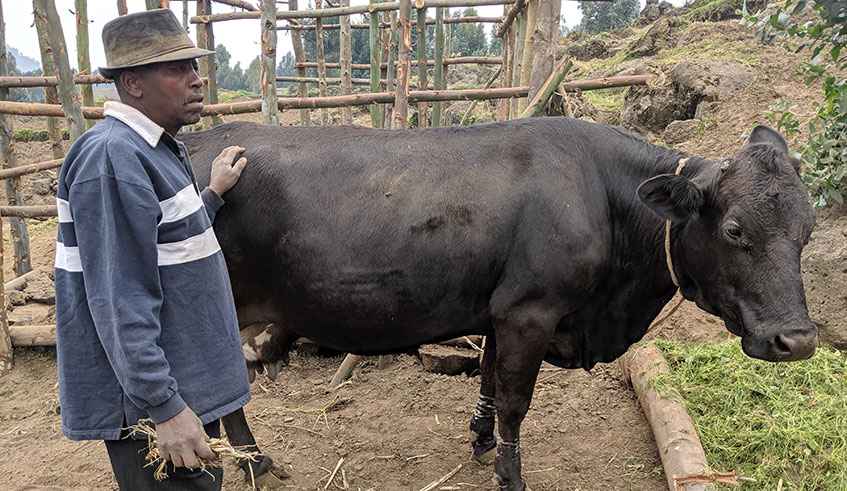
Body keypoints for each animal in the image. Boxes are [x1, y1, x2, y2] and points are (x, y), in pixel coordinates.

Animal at [178, 117, 818, 490]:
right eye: (734, 230)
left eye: (808, 229)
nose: (797, 340)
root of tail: (193, 140)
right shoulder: (529, 311)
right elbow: (515, 401)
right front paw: (511, 474)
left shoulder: (497, 311)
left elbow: (487, 379)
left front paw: (482, 440)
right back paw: (251, 462)